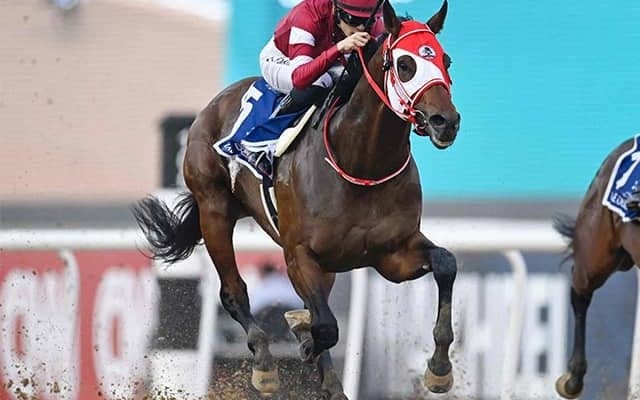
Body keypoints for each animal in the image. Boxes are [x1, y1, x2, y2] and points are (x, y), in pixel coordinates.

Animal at [133, 1, 461, 398]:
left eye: (446, 60)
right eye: (405, 64)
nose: (446, 121)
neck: (361, 164)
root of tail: (216, 103)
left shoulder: (392, 255)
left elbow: (446, 263)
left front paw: (439, 368)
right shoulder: (299, 255)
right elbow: (326, 327)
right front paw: (303, 340)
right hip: (214, 210)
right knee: (234, 291)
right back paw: (265, 364)